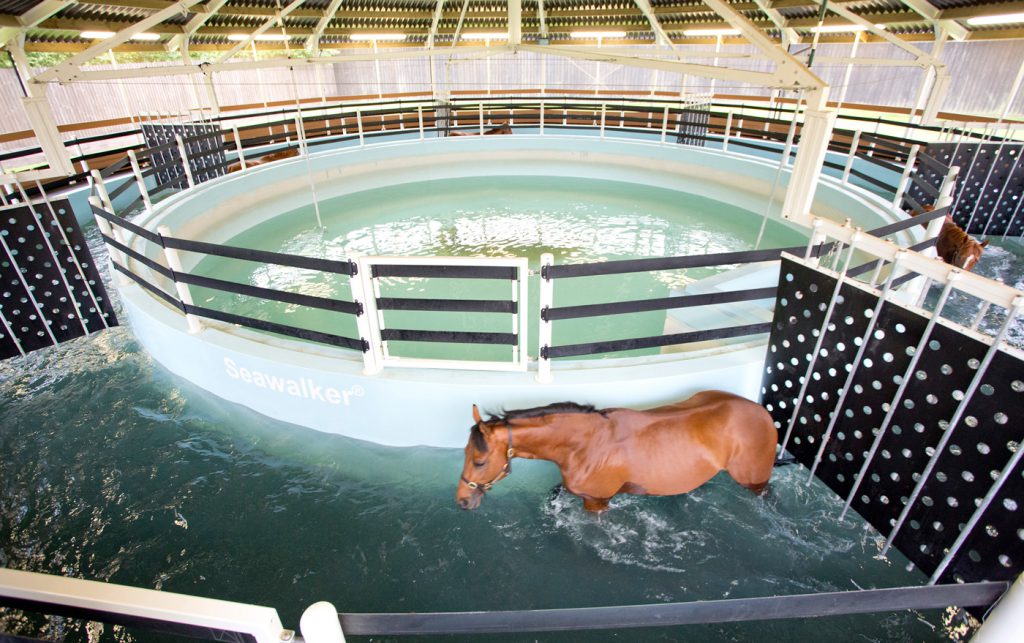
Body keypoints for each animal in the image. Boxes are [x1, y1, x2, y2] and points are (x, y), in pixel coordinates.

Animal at [456, 390, 778, 513]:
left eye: (479, 461)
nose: (462, 501)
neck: (587, 444)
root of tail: (762, 411)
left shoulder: (597, 501)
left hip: (754, 480)